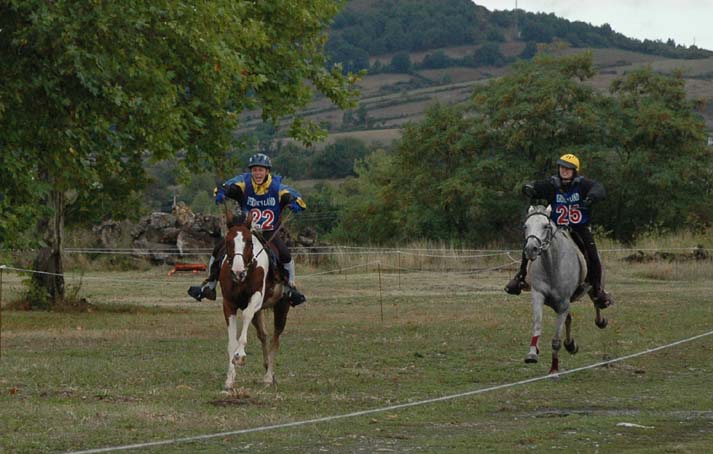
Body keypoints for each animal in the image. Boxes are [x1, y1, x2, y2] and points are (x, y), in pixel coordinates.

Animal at [220, 216, 292, 390]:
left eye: (248, 241)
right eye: (228, 241)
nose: (237, 272)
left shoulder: (256, 298)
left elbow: (246, 315)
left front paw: (240, 356)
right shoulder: (228, 304)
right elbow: (231, 342)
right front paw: (230, 379)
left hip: (282, 307)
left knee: (275, 338)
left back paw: (268, 376)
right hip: (258, 314)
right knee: (263, 335)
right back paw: (266, 368)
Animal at [520, 205, 604, 372]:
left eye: (545, 226)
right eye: (526, 226)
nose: (531, 249)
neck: (552, 265)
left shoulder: (563, 303)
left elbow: (555, 341)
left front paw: (554, 370)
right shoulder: (538, 295)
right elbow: (537, 324)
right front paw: (532, 353)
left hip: (592, 285)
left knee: (596, 300)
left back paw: (601, 319)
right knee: (569, 319)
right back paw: (570, 344)